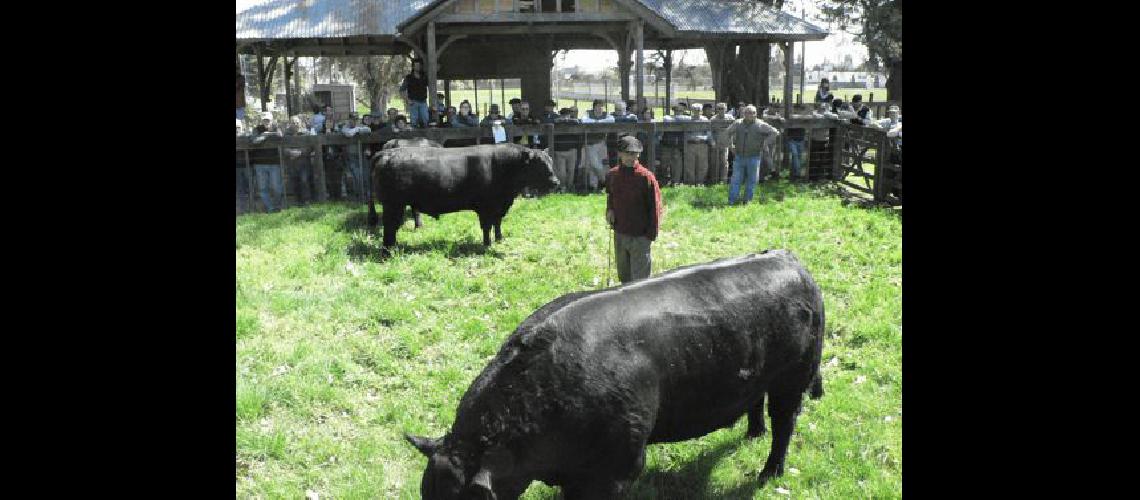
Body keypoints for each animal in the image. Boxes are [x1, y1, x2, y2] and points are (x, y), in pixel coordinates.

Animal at [367, 142, 558, 248]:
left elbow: (497, 223)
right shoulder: (486, 207)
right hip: (393, 204)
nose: (556, 182)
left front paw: (499, 239)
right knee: (389, 226)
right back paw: (389, 251)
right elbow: (487, 226)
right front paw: (487, 245)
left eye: (550, 161)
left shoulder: (499, 205)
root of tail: (386, 153)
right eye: (539, 164)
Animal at [410, 252, 829, 498]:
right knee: (757, 404)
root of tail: (789, 260)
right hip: (759, 371)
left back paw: (769, 473)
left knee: (785, 422)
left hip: (794, 377)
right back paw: (752, 433)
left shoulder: (620, 466)